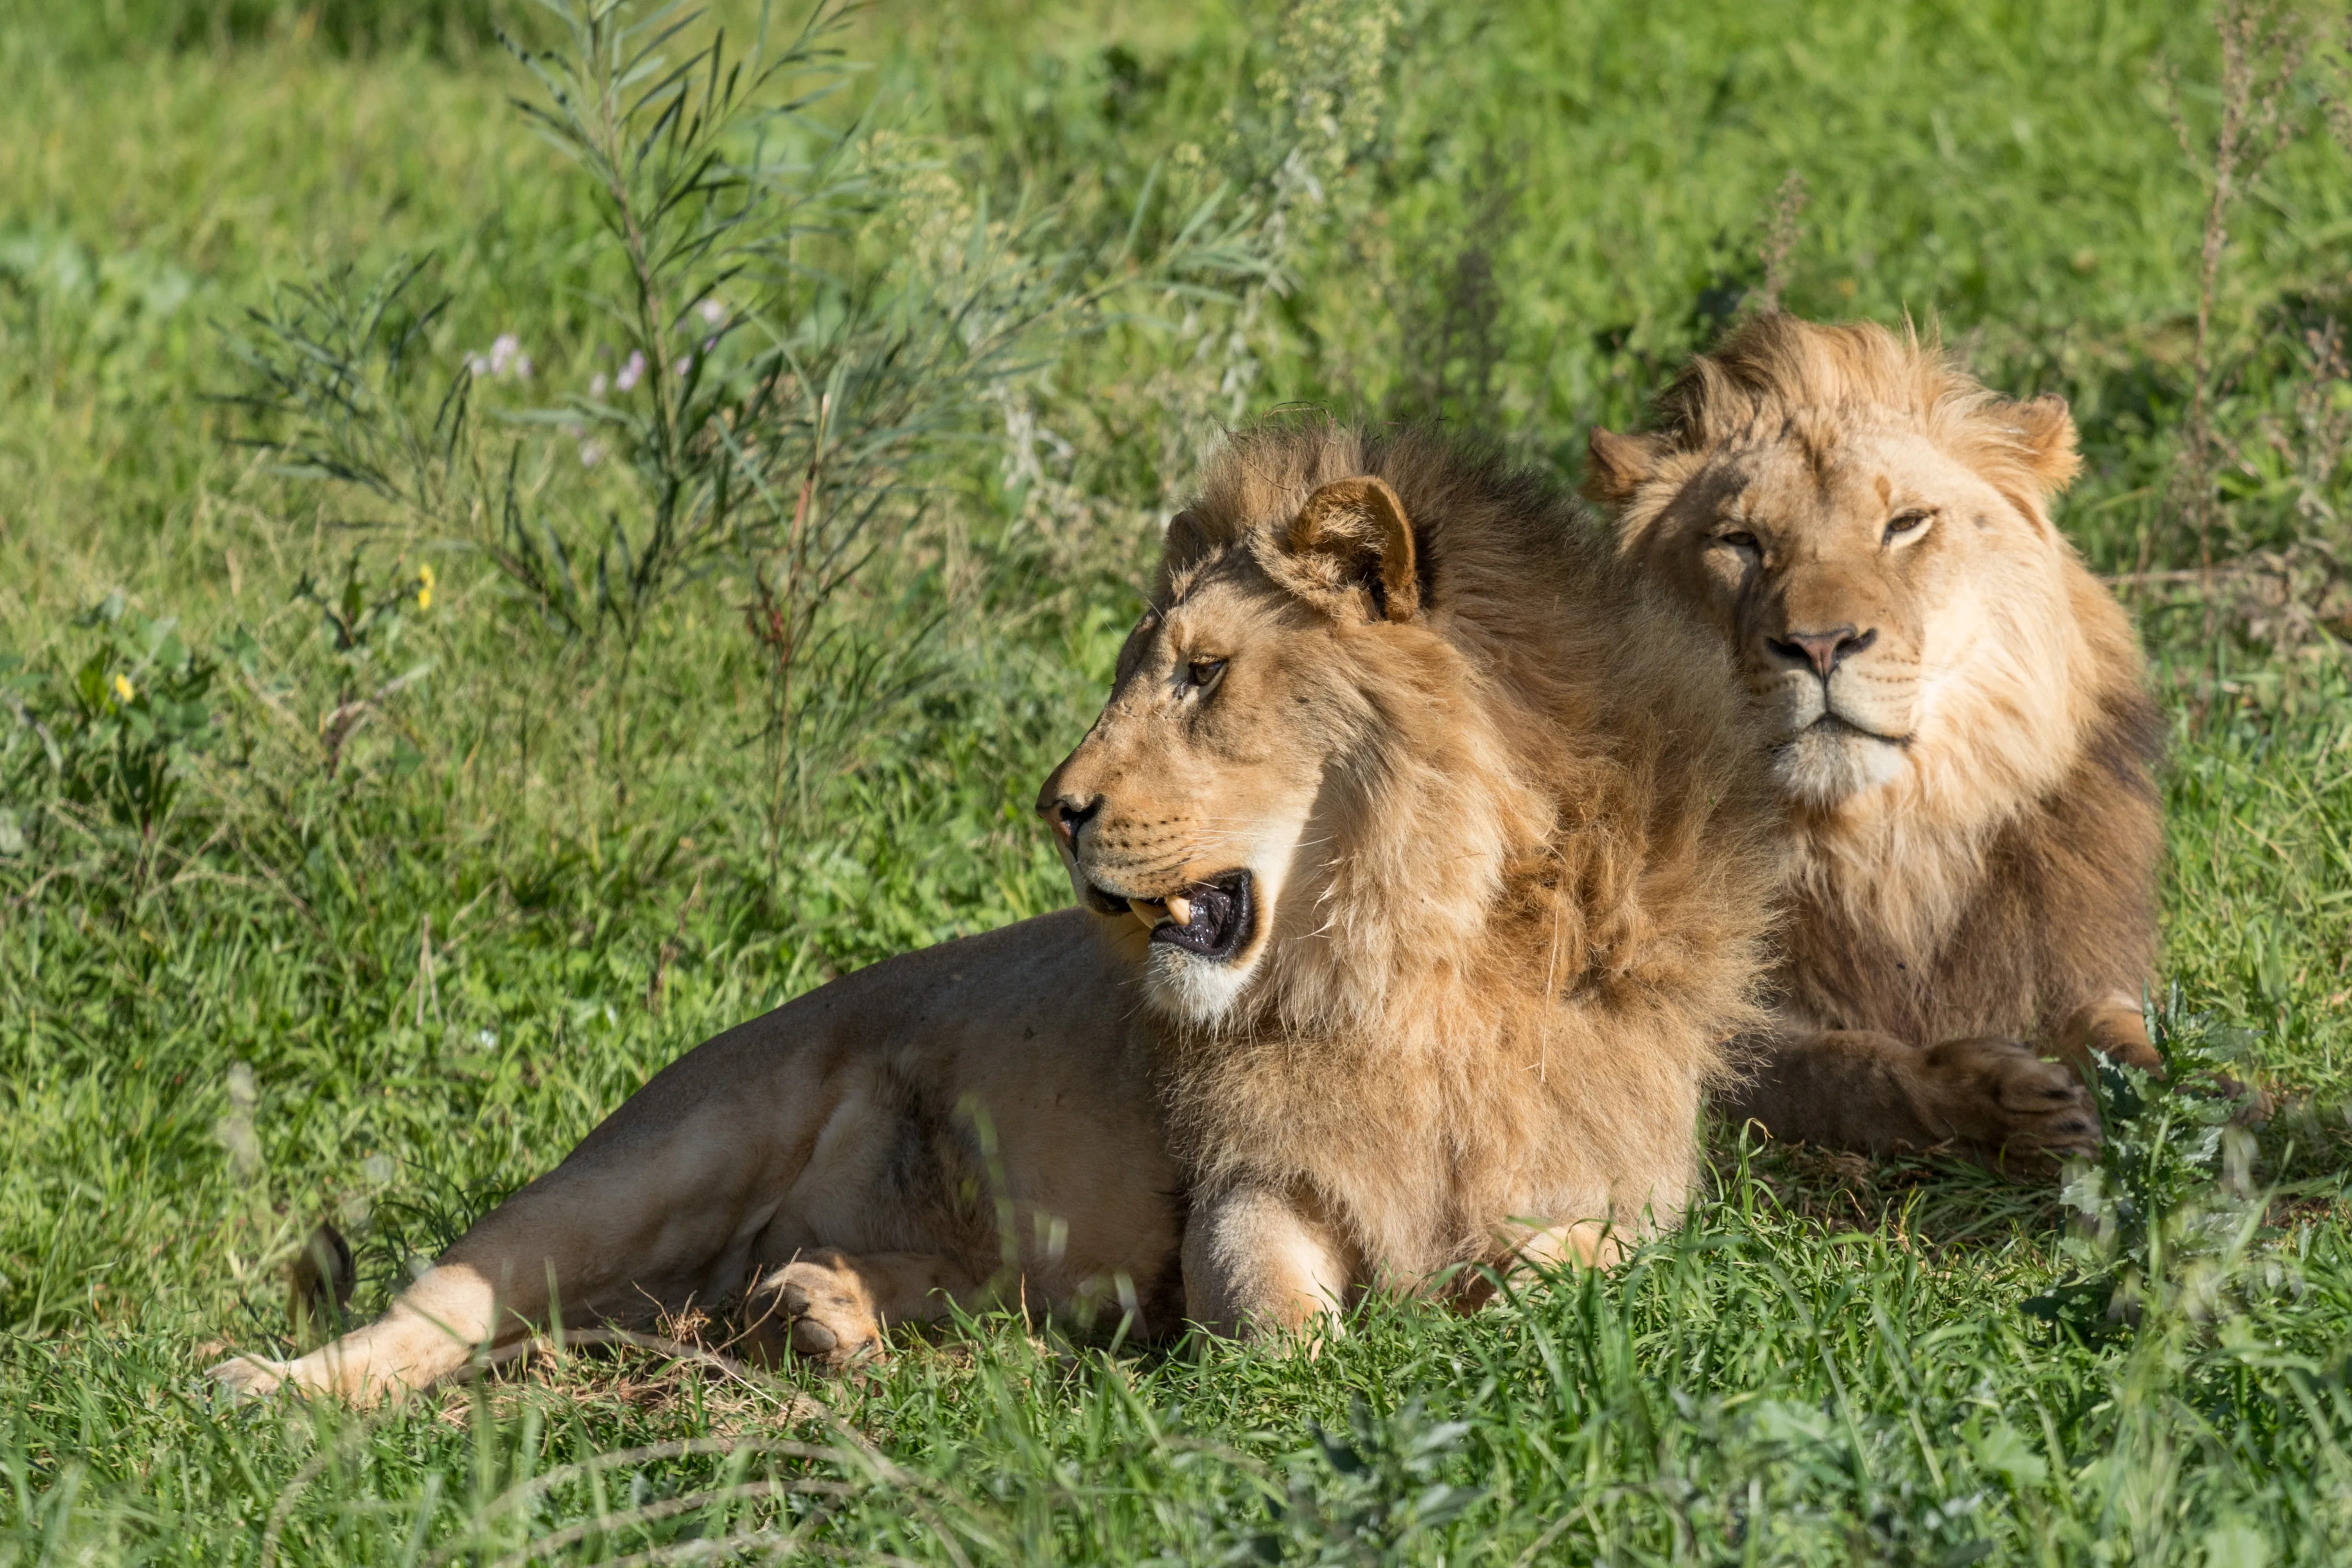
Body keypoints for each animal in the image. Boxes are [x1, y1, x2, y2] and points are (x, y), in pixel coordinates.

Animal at [208, 420, 1776, 1402]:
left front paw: (1467, 1301)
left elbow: (1564, 1264)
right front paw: (1335, 1369)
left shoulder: (1636, 1189)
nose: (1055, 803)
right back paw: (268, 1386)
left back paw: (818, 1313)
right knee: (444, 1302)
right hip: (652, 1154)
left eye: (1201, 674)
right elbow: (1266, 1313)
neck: (1409, 960)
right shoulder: (1247, 1188)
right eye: (1138, 668)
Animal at [1587, 315, 2165, 1164]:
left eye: (1903, 526)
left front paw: (2207, 1094)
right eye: (1739, 540)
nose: (1820, 644)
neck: (1882, 844)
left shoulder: (2074, 959)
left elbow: (2120, 1031)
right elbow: (1850, 1069)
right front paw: (2009, 1100)